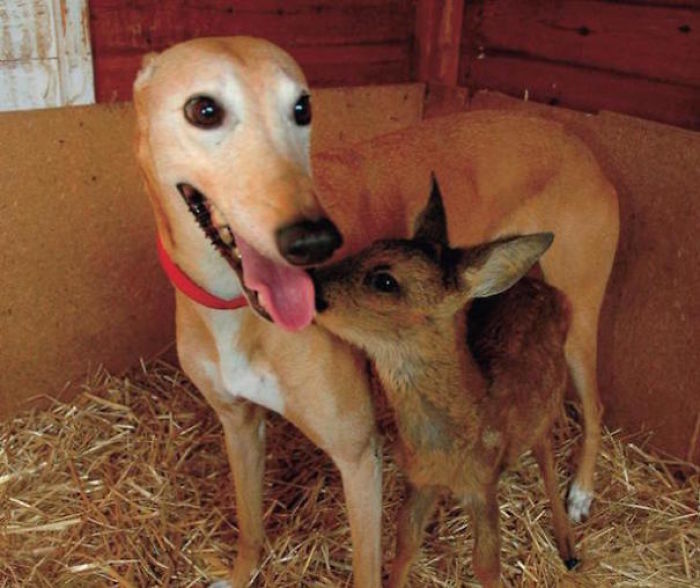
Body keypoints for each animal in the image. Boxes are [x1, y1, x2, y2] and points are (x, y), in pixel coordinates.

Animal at [311, 178, 579, 587]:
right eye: (368, 246)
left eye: (384, 280)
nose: (313, 286)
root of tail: (544, 288)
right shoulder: (420, 481)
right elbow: (405, 543)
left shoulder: (482, 483)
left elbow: (486, 566)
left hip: (546, 410)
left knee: (547, 456)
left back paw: (568, 546)